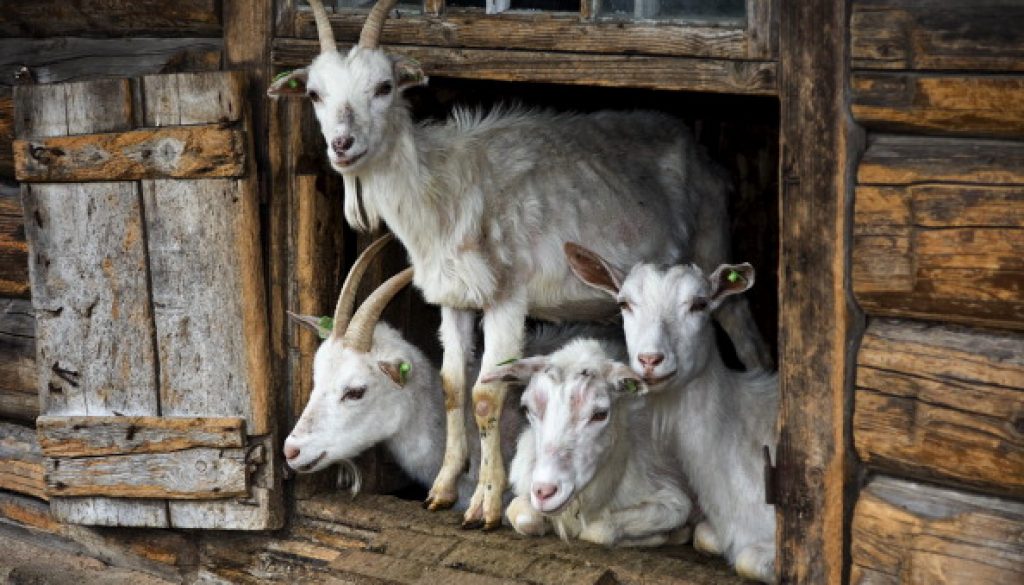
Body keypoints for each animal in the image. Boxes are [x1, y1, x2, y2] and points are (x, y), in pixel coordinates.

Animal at [482, 339, 695, 547]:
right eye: (527, 408)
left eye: (600, 414)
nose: (544, 492)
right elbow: (522, 516)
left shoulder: (672, 498)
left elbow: (597, 531)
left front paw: (667, 536)